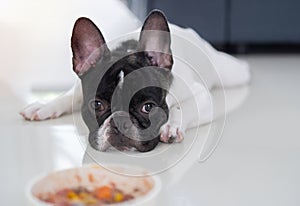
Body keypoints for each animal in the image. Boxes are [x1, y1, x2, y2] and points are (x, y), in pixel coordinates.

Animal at [19, 10, 250, 153]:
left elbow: (181, 107)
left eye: (148, 107)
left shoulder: (201, 96)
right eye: (97, 105)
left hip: (230, 73)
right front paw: (45, 105)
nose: (120, 122)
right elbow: (69, 95)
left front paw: (171, 126)